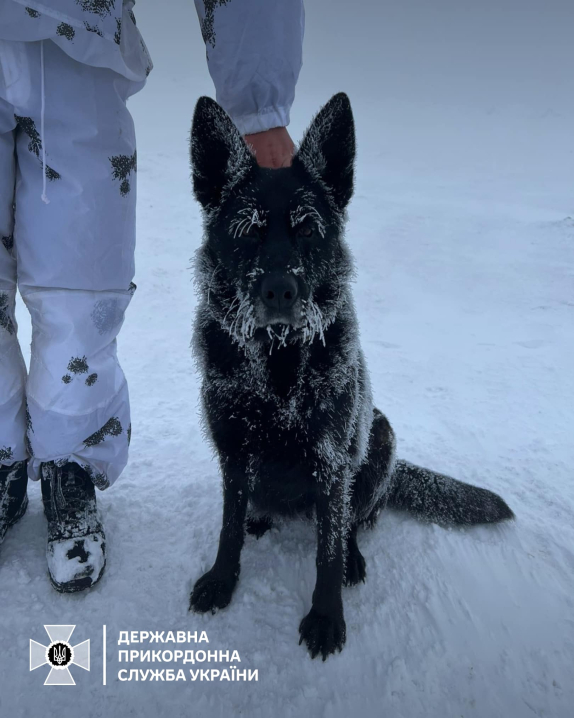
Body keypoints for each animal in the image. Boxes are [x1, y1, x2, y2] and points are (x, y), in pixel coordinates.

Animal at [189, 93, 516, 660]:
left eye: (307, 229)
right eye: (248, 231)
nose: (280, 292)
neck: (279, 367)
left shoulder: (330, 460)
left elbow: (327, 551)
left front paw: (325, 617)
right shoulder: (233, 453)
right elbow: (228, 528)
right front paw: (222, 580)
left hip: (378, 435)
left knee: (352, 524)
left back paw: (354, 558)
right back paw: (261, 516)